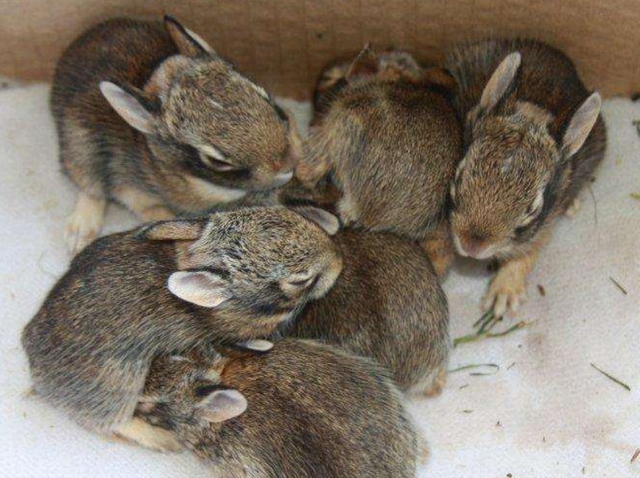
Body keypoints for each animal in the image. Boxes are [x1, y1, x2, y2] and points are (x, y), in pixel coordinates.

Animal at [20, 206, 340, 452]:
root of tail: (35, 369)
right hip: (118, 384)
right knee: (112, 422)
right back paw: (164, 440)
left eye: (294, 215)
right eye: (300, 280)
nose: (338, 264)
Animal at [444, 40, 604, 318]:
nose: (472, 245)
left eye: (533, 209)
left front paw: (502, 297)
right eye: (460, 175)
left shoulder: (544, 224)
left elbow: (526, 255)